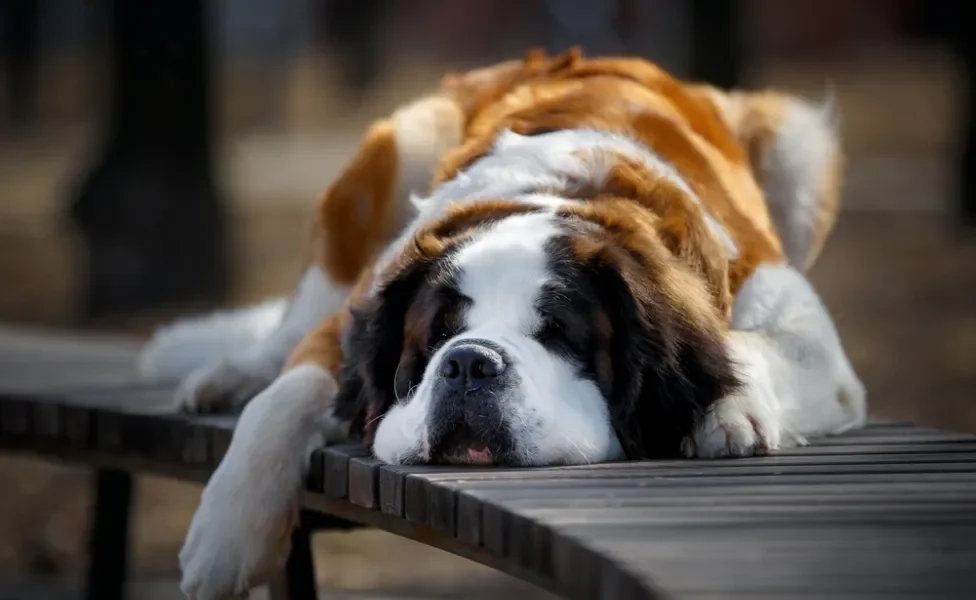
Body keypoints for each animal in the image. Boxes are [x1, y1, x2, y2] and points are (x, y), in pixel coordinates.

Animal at [139, 50, 868, 600]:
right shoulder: (355, 312)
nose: (469, 363)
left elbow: (748, 344)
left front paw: (727, 408)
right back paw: (226, 374)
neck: (557, 199)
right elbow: (284, 397)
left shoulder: (814, 344)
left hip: (798, 140)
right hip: (394, 151)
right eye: (434, 337)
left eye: (560, 334)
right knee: (286, 332)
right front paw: (225, 539)